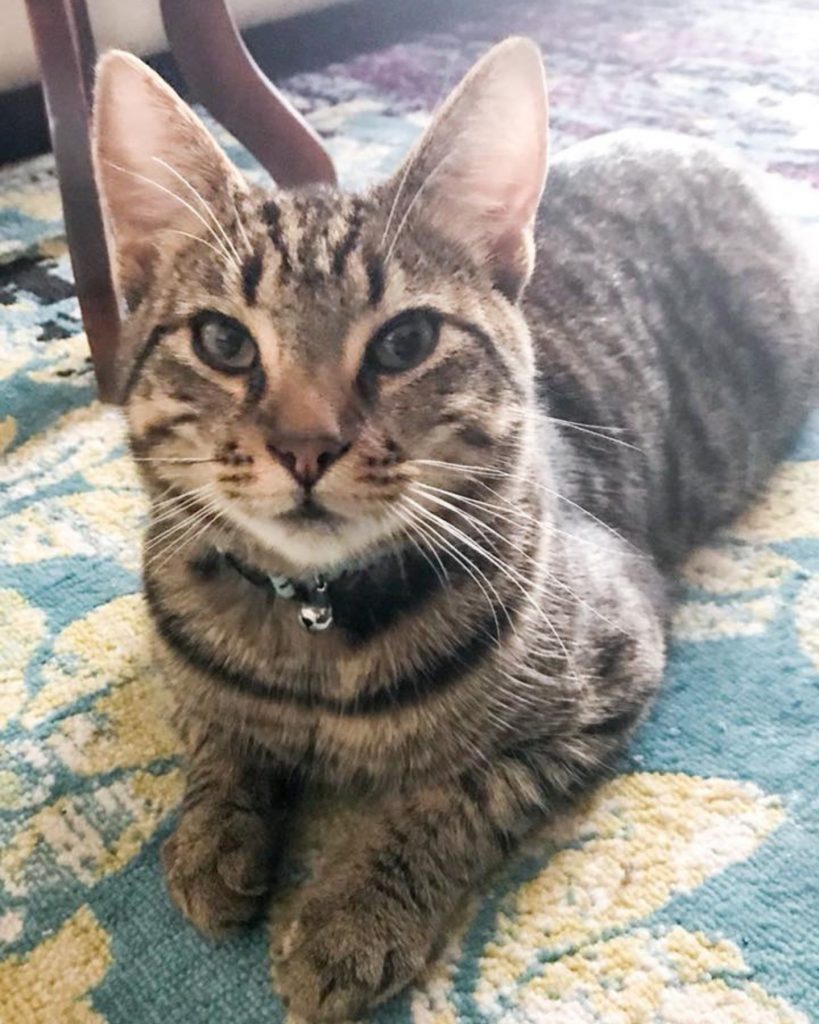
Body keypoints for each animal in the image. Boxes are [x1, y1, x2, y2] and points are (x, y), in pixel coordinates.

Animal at [91, 36, 818, 1019]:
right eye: (223, 342)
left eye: (404, 342)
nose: (307, 446)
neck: (318, 626)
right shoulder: (184, 659)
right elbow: (213, 729)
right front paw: (212, 832)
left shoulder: (611, 664)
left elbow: (457, 793)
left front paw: (353, 916)